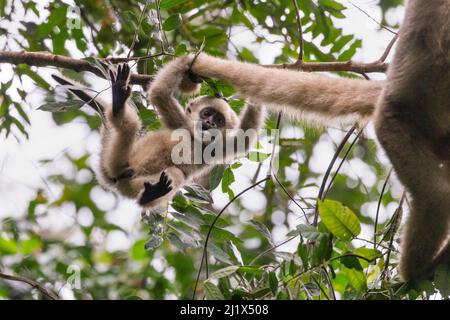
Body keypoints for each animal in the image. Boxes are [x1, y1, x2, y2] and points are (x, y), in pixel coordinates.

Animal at [53, 56, 266, 208]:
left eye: (219, 120)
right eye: (207, 113)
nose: (209, 123)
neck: (195, 139)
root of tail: (113, 180)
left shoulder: (217, 147)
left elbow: (246, 138)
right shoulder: (180, 122)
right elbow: (159, 93)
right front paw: (193, 60)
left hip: (132, 182)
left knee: (175, 174)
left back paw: (149, 195)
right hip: (118, 162)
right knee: (131, 125)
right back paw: (118, 100)